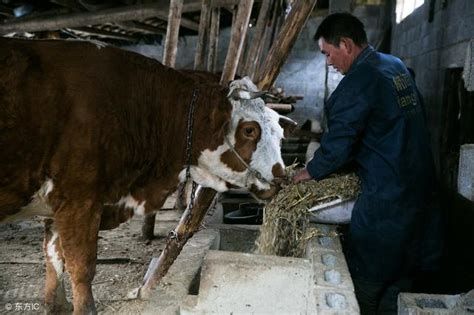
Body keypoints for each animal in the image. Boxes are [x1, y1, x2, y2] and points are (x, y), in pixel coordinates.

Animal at [0, 38, 296, 314]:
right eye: (249, 130)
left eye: (280, 133)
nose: (282, 177)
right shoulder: (79, 200)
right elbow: (81, 268)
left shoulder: (56, 207)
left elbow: (53, 259)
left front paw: (57, 305)